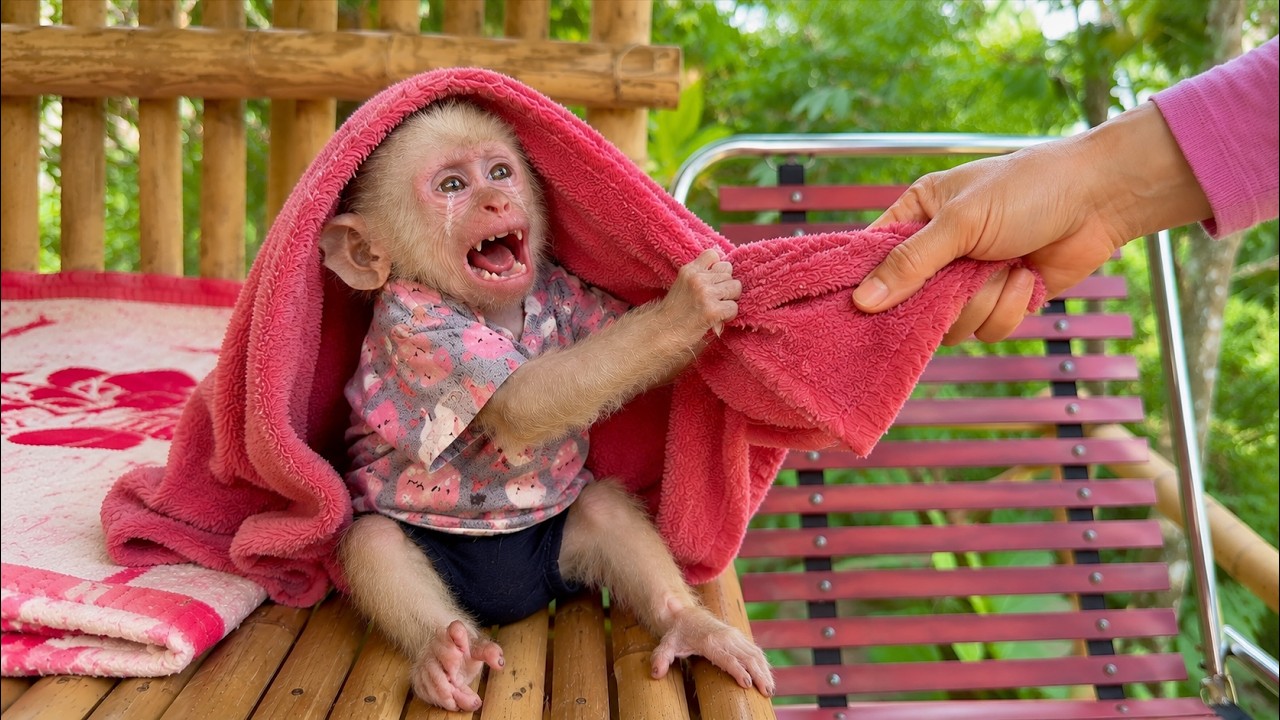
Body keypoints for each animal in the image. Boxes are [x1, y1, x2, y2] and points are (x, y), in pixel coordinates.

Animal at [319, 101, 774, 712]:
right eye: (452, 185)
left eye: (501, 172)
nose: (496, 200)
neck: (495, 309)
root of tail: (511, 602)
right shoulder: (418, 325)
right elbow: (519, 400)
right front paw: (687, 306)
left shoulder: (567, 290)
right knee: (372, 544)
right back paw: (445, 654)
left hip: (557, 554)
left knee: (604, 509)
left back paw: (690, 626)